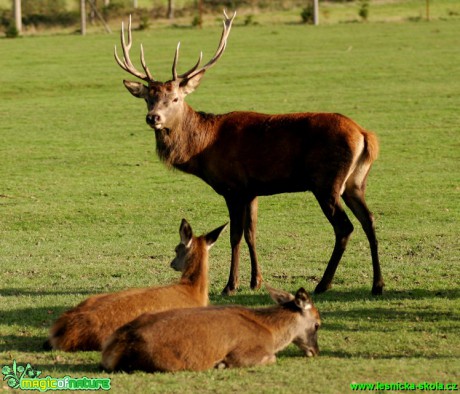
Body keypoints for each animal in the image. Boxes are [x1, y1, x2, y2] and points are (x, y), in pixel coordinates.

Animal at [102, 284, 322, 372]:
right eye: (318, 324)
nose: (316, 351)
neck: (271, 332)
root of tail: (114, 347)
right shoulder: (245, 352)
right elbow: (271, 358)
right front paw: (221, 364)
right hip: (166, 362)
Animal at [115, 11, 384, 296]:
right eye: (148, 98)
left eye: (175, 98)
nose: (153, 117)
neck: (203, 147)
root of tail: (365, 135)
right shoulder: (253, 189)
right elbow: (251, 233)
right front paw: (256, 281)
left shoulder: (233, 187)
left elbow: (234, 235)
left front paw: (230, 285)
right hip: (355, 182)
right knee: (369, 220)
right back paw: (377, 284)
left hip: (327, 182)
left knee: (345, 227)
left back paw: (323, 284)